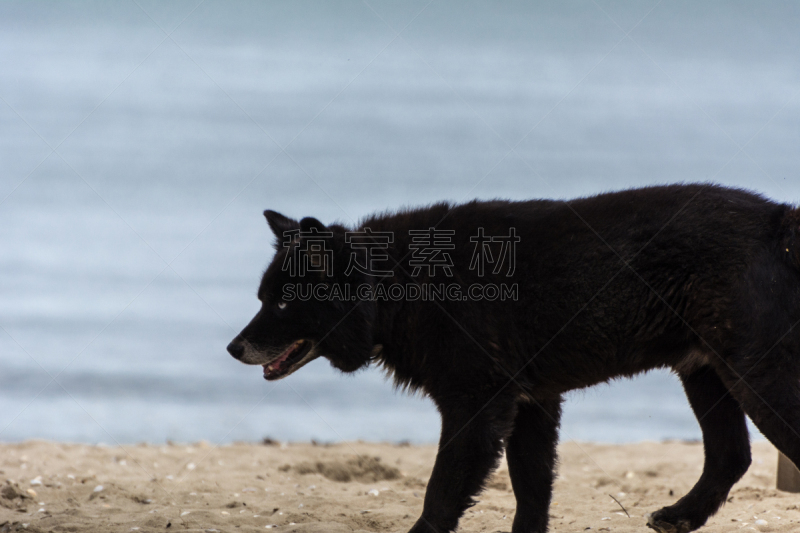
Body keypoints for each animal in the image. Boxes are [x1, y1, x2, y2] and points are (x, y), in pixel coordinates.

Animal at [228, 184, 800, 532]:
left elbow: (440, 497)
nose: (233, 348)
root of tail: (779, 219)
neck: (402, 284)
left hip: (757, 379)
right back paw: (681, 515)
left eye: (282, 302)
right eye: (262, 298)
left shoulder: (476, 413)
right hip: (706, 374)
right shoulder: (532, 406)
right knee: (730, 456)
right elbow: (531, 492)